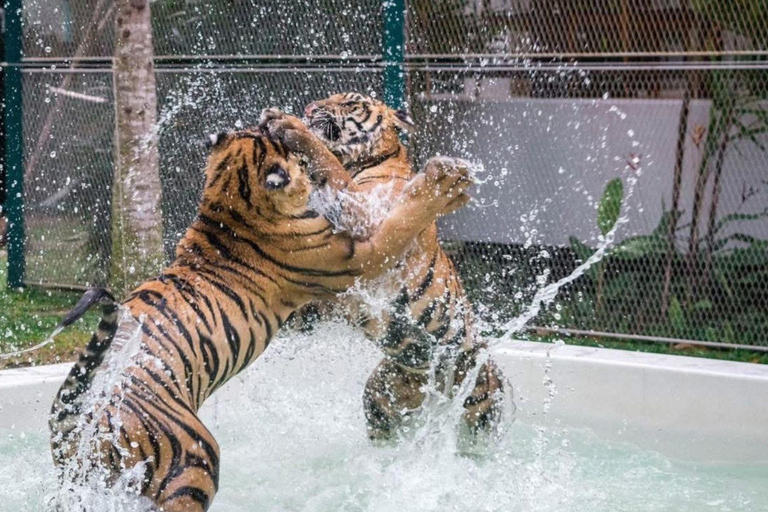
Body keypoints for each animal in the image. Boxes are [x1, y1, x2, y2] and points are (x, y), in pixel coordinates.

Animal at [49, 125, 473, 511]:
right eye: (294, 159)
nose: (305, 164)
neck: (225, 203)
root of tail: (72, 421)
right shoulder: (359, 256)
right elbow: (402, 220)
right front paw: (447, 185)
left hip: (79, 483)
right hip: (196, 459)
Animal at [260, 93, 509, 445]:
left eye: (348, 102)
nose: (309, 109)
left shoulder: (371, 218)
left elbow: (331, 168)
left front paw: (290, 127)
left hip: (479, 405)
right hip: (381, 392)